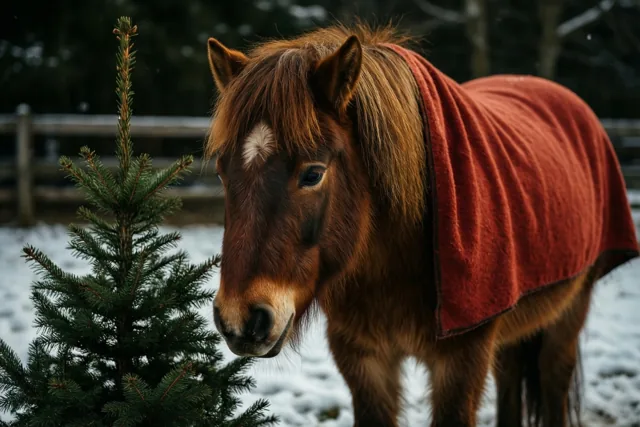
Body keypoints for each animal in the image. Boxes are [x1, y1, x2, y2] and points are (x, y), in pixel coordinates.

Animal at [204, 23, 639, 427]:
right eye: (223, 172)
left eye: (312, 174)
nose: (240, 320)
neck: (393, 260)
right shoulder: (363, 359)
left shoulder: (461, 362)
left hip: (568, 314)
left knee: (553, 382)